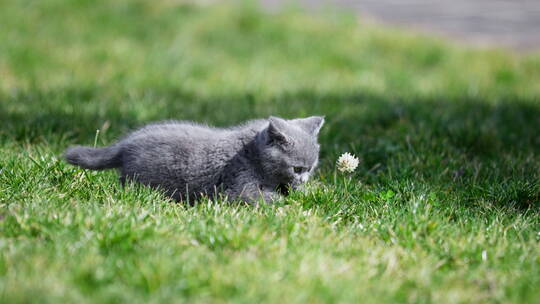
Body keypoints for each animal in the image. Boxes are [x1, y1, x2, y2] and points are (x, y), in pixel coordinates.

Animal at [65, 116, 322, 204]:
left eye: (310, 169)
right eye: (297, 168)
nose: (304, 179)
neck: (253, 154)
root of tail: (126, 144)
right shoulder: (238, 184)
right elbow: (254, 196)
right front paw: (285, 203)